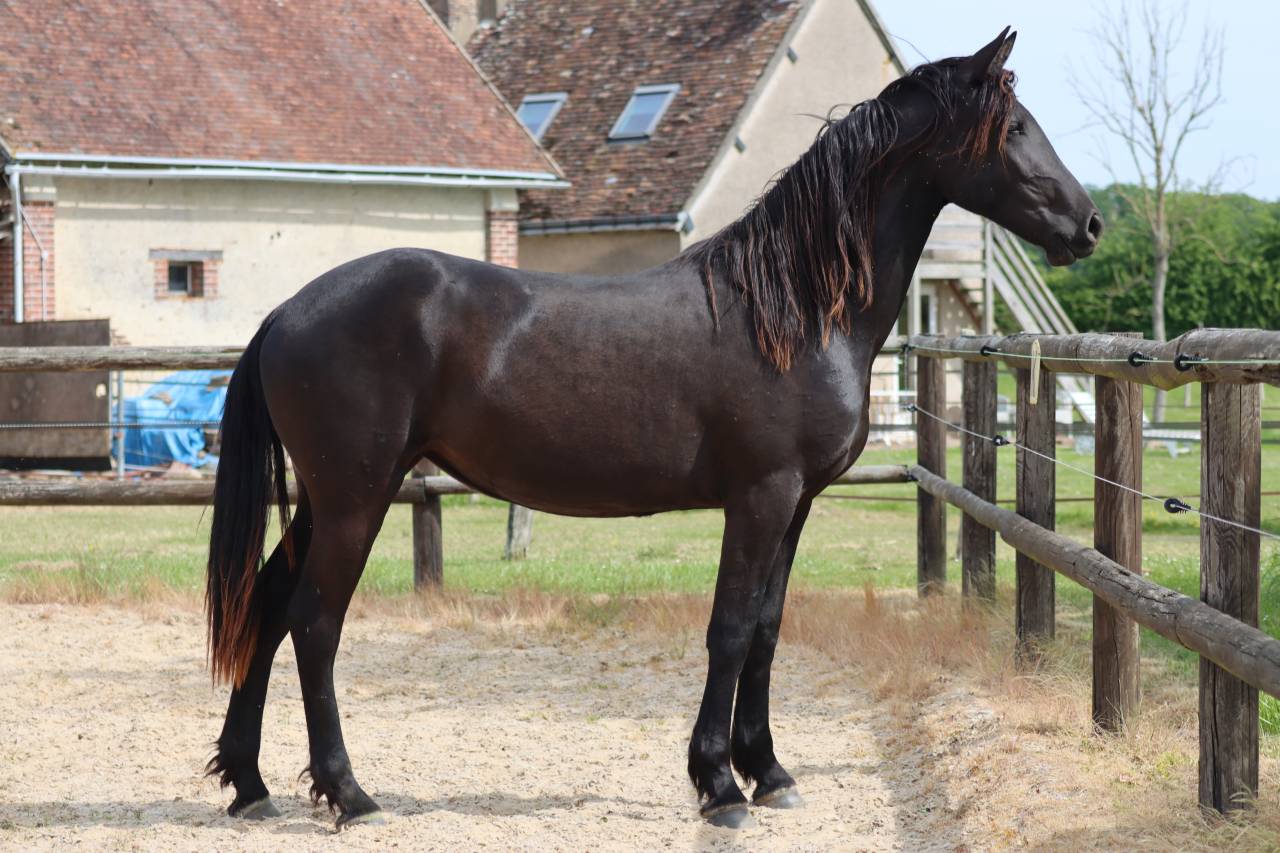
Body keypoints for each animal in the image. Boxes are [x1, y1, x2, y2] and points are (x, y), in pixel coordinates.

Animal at [203, 28, 1101, 830]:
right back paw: (349, 793)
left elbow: (768, 629)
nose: (1088, 224)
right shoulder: (761, 496)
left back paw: (250, 785)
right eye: (1014, 128)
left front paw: (771, 772)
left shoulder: (798, 503)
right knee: (315, 623)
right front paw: (720, 785)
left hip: (333, 498)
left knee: (269, 605)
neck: (795, 309)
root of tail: (286, 311)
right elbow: (730, 630)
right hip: (355, 499)